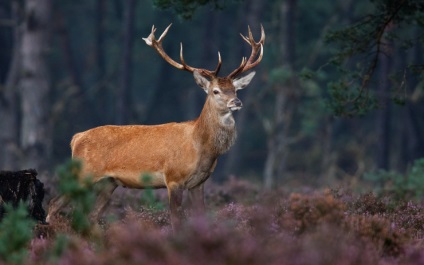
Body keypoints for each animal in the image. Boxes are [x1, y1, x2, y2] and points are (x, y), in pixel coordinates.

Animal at [47, 23, 264, 228]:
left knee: (90, 216)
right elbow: (176, 222)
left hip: (109, 182)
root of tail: (76, 138)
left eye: (235, 89)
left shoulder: (199, 183)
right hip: (83, 173)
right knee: (54, 203)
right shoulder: (173, 178)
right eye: (216, 91)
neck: (201, 146)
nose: (236, 102)